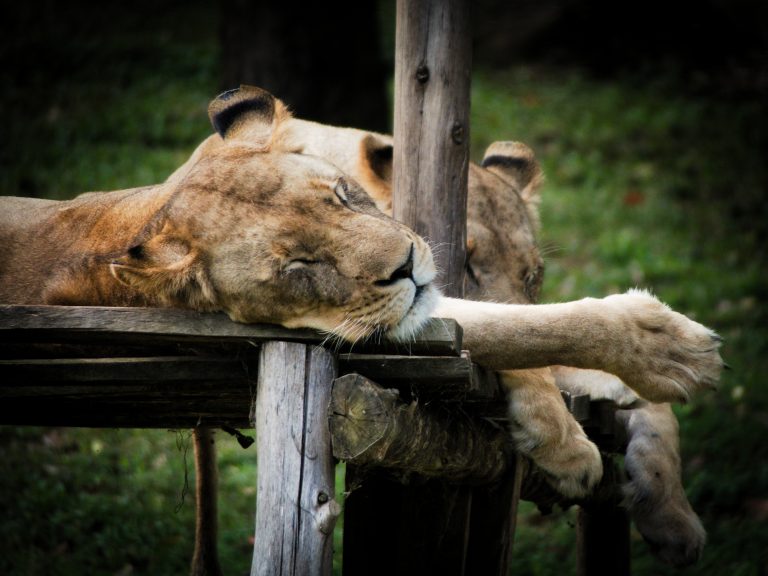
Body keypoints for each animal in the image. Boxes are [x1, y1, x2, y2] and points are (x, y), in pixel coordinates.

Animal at [1, 86, 720, 568]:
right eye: (300, 265)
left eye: (342, 198)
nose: (409, 265)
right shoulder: (400, 315)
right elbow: (528, 341)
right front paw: (582, 430)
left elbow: (646, 407)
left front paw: (673, 514)